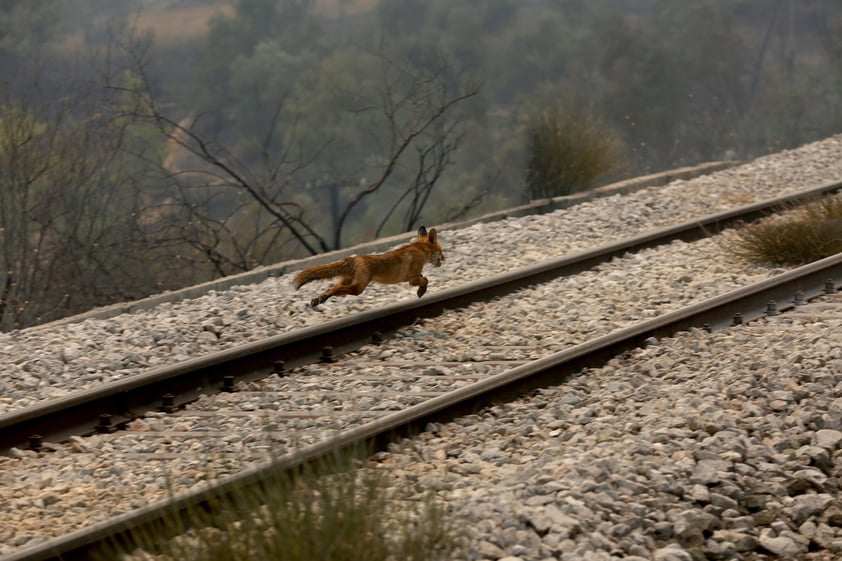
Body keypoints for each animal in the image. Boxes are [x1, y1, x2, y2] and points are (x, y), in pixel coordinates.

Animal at [292, 225, 442, 308]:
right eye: (441, 250)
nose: (444, 258)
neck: (419, 250)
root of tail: (354, 258)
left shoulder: (415, 276)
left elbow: (424, 278)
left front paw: (422, 290)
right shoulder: (412, 279)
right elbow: (425, 280)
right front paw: (421, 291)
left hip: (349, 283)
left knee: (331, 288)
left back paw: (319, 299)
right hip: (358, 288)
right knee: (337, 289)